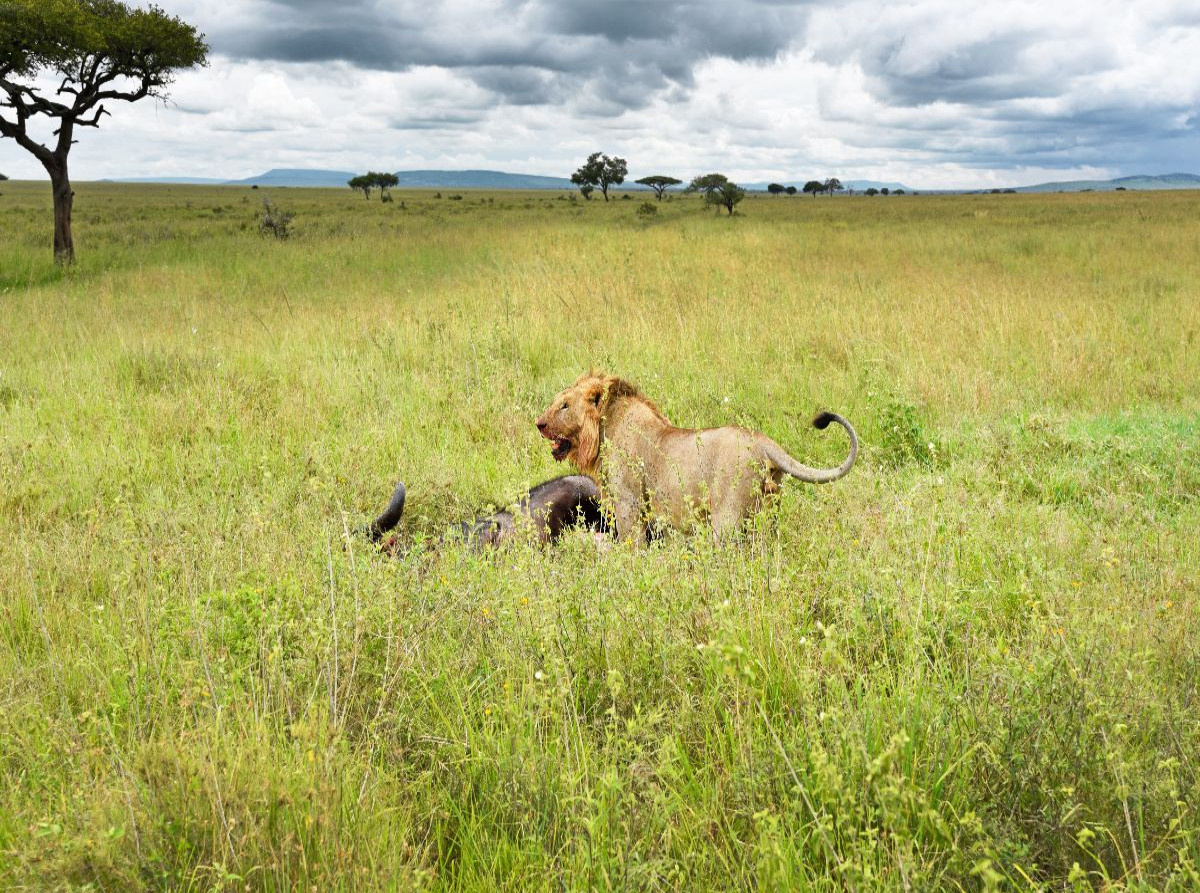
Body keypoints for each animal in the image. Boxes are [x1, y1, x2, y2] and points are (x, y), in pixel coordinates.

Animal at [535, 371, 858, 543]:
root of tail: (763, 441)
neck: (603, 429)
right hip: (766, 514)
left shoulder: (629, 504)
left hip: (726, 519)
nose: (539, 423)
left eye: (564, 405)